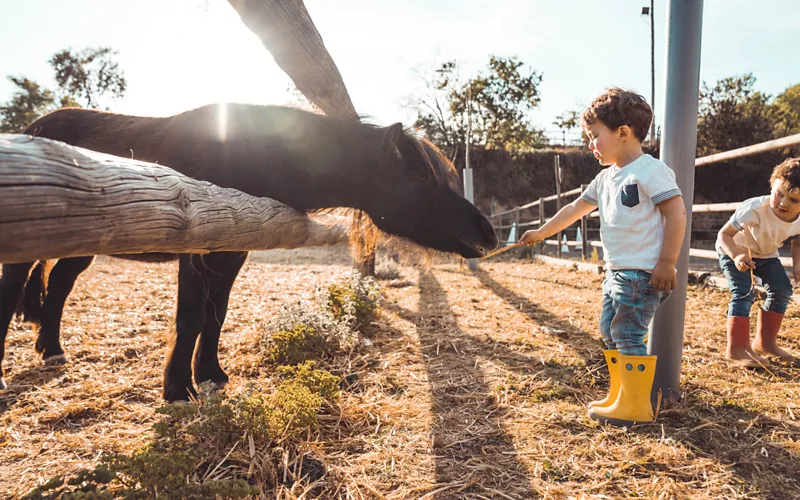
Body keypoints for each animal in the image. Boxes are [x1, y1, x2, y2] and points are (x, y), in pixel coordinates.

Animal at [0, 103, 496, 400]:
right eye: (423, 177)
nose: (487, 232)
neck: (251, 154)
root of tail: (34, 129)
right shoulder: (198, 249)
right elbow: (191, 317)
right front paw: (178, 389)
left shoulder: (233, 252)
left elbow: (216, 315)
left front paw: (211, 375)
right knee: (15, 292)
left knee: (59, 285)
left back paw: (52, 349)